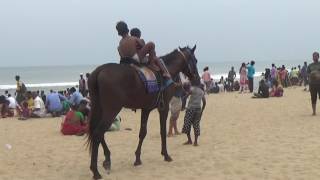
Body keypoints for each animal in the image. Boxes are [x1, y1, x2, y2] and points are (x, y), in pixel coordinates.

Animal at [86, 45, 199, 179]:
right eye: (195, 60)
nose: (197, 78)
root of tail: (99, 71)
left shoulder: (146, 109)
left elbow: (142, 132)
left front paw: (137, 158)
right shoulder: (164, 107)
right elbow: (162, 131)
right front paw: (166, 154)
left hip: (99, 108)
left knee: (97, 132)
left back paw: (107, 159)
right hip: (111, 110)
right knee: (98, 133)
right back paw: (95, 170)